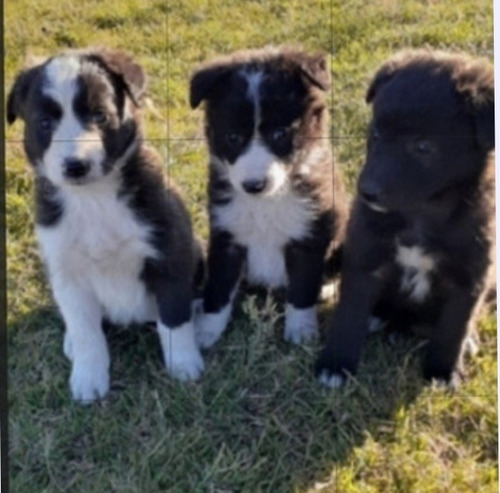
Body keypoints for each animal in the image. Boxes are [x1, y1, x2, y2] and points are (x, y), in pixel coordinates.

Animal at [7, 48, 204, 402]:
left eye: (99, 116)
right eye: (44, 124)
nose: (75, 166)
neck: (93, 197)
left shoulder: (170, 253)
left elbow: (174, 317)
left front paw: (184, 364)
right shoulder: (67, 273)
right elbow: (87, 332)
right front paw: (88, 378)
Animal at [189, 47, 346, 350]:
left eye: (280, 134)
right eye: (233, 137)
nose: (254, 185)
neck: (265, 202)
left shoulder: (308, 236)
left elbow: (302, 288)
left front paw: (301, 330)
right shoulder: (227, 236)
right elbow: (219, 286)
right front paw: (206, 329)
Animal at [316, 51, 496, 388]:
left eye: (423, 147)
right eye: (375, 134)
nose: (366, 192)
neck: (419, 214)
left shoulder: (470, 277)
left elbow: (454, 327)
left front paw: (443, 371)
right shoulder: (364, 257)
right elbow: (349, 315)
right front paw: (335, 364)